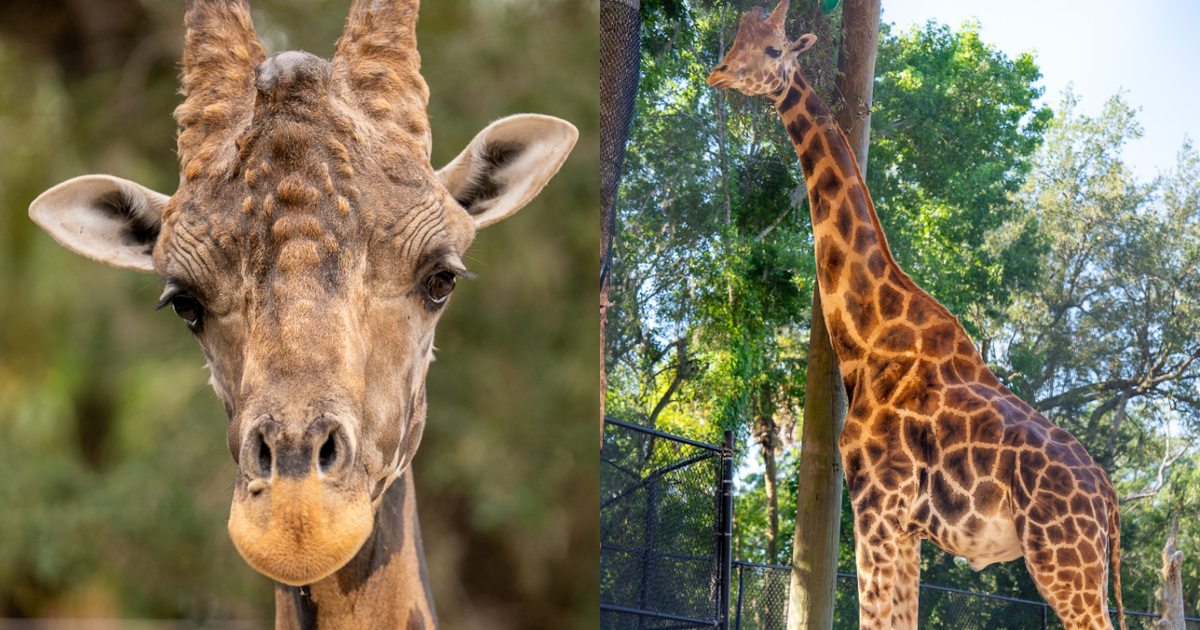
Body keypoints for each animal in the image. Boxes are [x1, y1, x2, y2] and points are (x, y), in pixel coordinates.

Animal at [706, 3, 1125, 629]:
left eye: (775, 49)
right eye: (736, 39)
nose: (719, 72)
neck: (869, 333)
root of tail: (1107, 494)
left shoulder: (877, 506)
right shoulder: (902, 526)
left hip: (1062, 559)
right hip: (1078, 563)